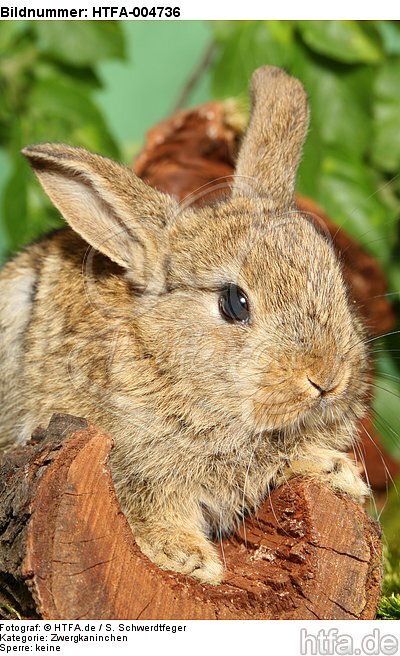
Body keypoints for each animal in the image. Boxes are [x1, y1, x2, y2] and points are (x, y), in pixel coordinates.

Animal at [0, 66, 368, 584]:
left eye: (335, 277)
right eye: (234, 303)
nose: (326, 378)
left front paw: (341, 474)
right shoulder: (136, 469)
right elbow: (153, 514)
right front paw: (194, 561)